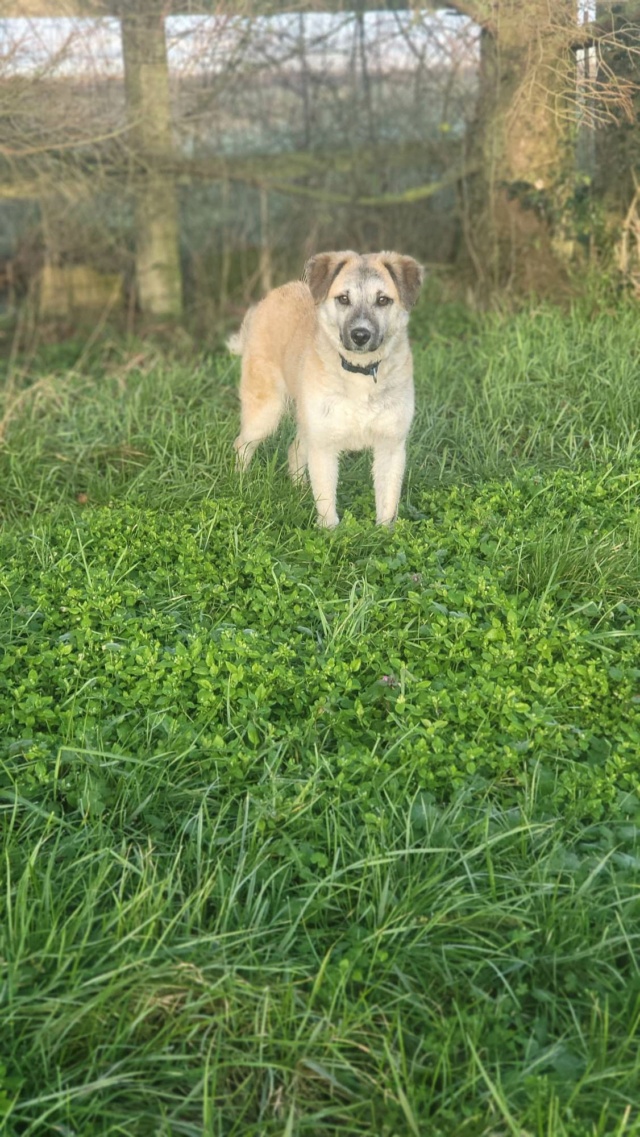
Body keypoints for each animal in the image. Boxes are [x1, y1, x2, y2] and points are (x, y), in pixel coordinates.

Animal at [227, 251, 422, 525]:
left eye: (383, 300)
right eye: (343, 298)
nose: (360, 335)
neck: (359, 372)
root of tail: (268, 298)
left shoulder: (391, 445)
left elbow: (388, 503)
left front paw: (385, 532)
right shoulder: (324, 444)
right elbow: (327, 500)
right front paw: (330, 532)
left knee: (294, 450)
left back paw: (299, 492)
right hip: (265, 414)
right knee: (242, 445)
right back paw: (241, 484)